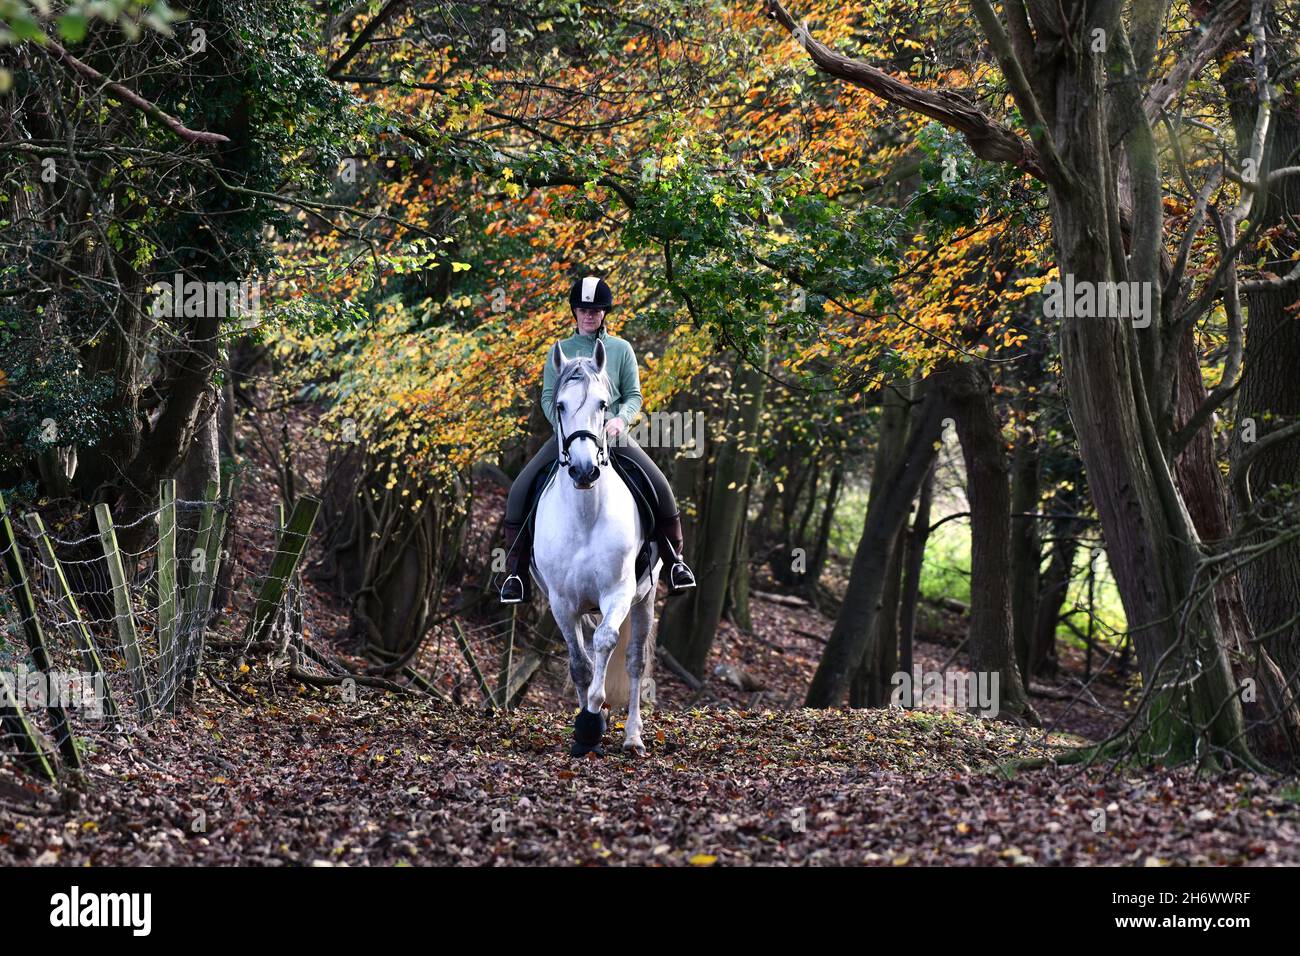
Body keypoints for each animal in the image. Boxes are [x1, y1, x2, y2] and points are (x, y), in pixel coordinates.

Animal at [530, 340, 660, 759]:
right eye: (560, 406)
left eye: (604, 404)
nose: (585, 470)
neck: (586, 516)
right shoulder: (561, 601)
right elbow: (581, 664)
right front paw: (586, 728)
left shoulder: (617, 593)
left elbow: (606, 643)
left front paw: (592, 717)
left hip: (645, 599)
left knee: (634, 662)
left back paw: (633, 737)